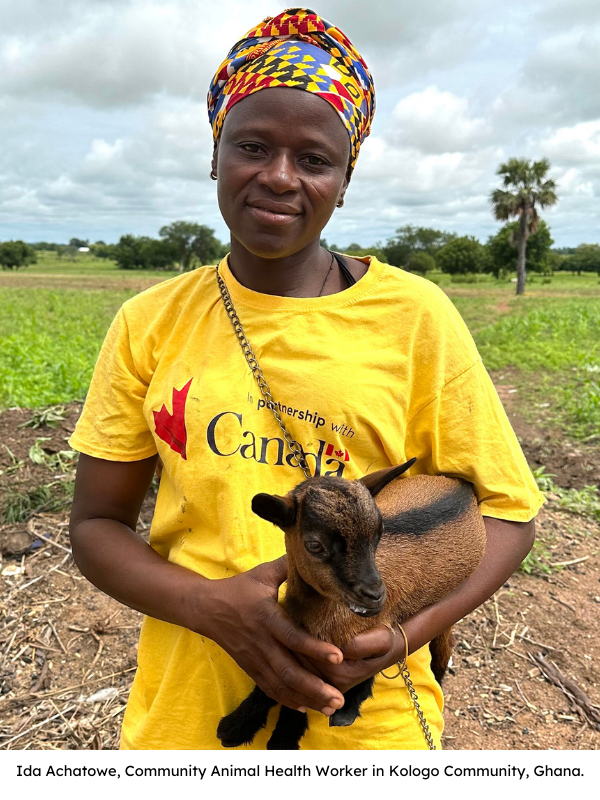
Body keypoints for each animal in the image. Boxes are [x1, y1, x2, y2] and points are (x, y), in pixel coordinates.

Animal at [217, 462, 488, 752]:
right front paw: (238, 726)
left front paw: (283, 738)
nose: (375, 595)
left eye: (378, 536)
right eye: (315, 545)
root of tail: (462, 487)